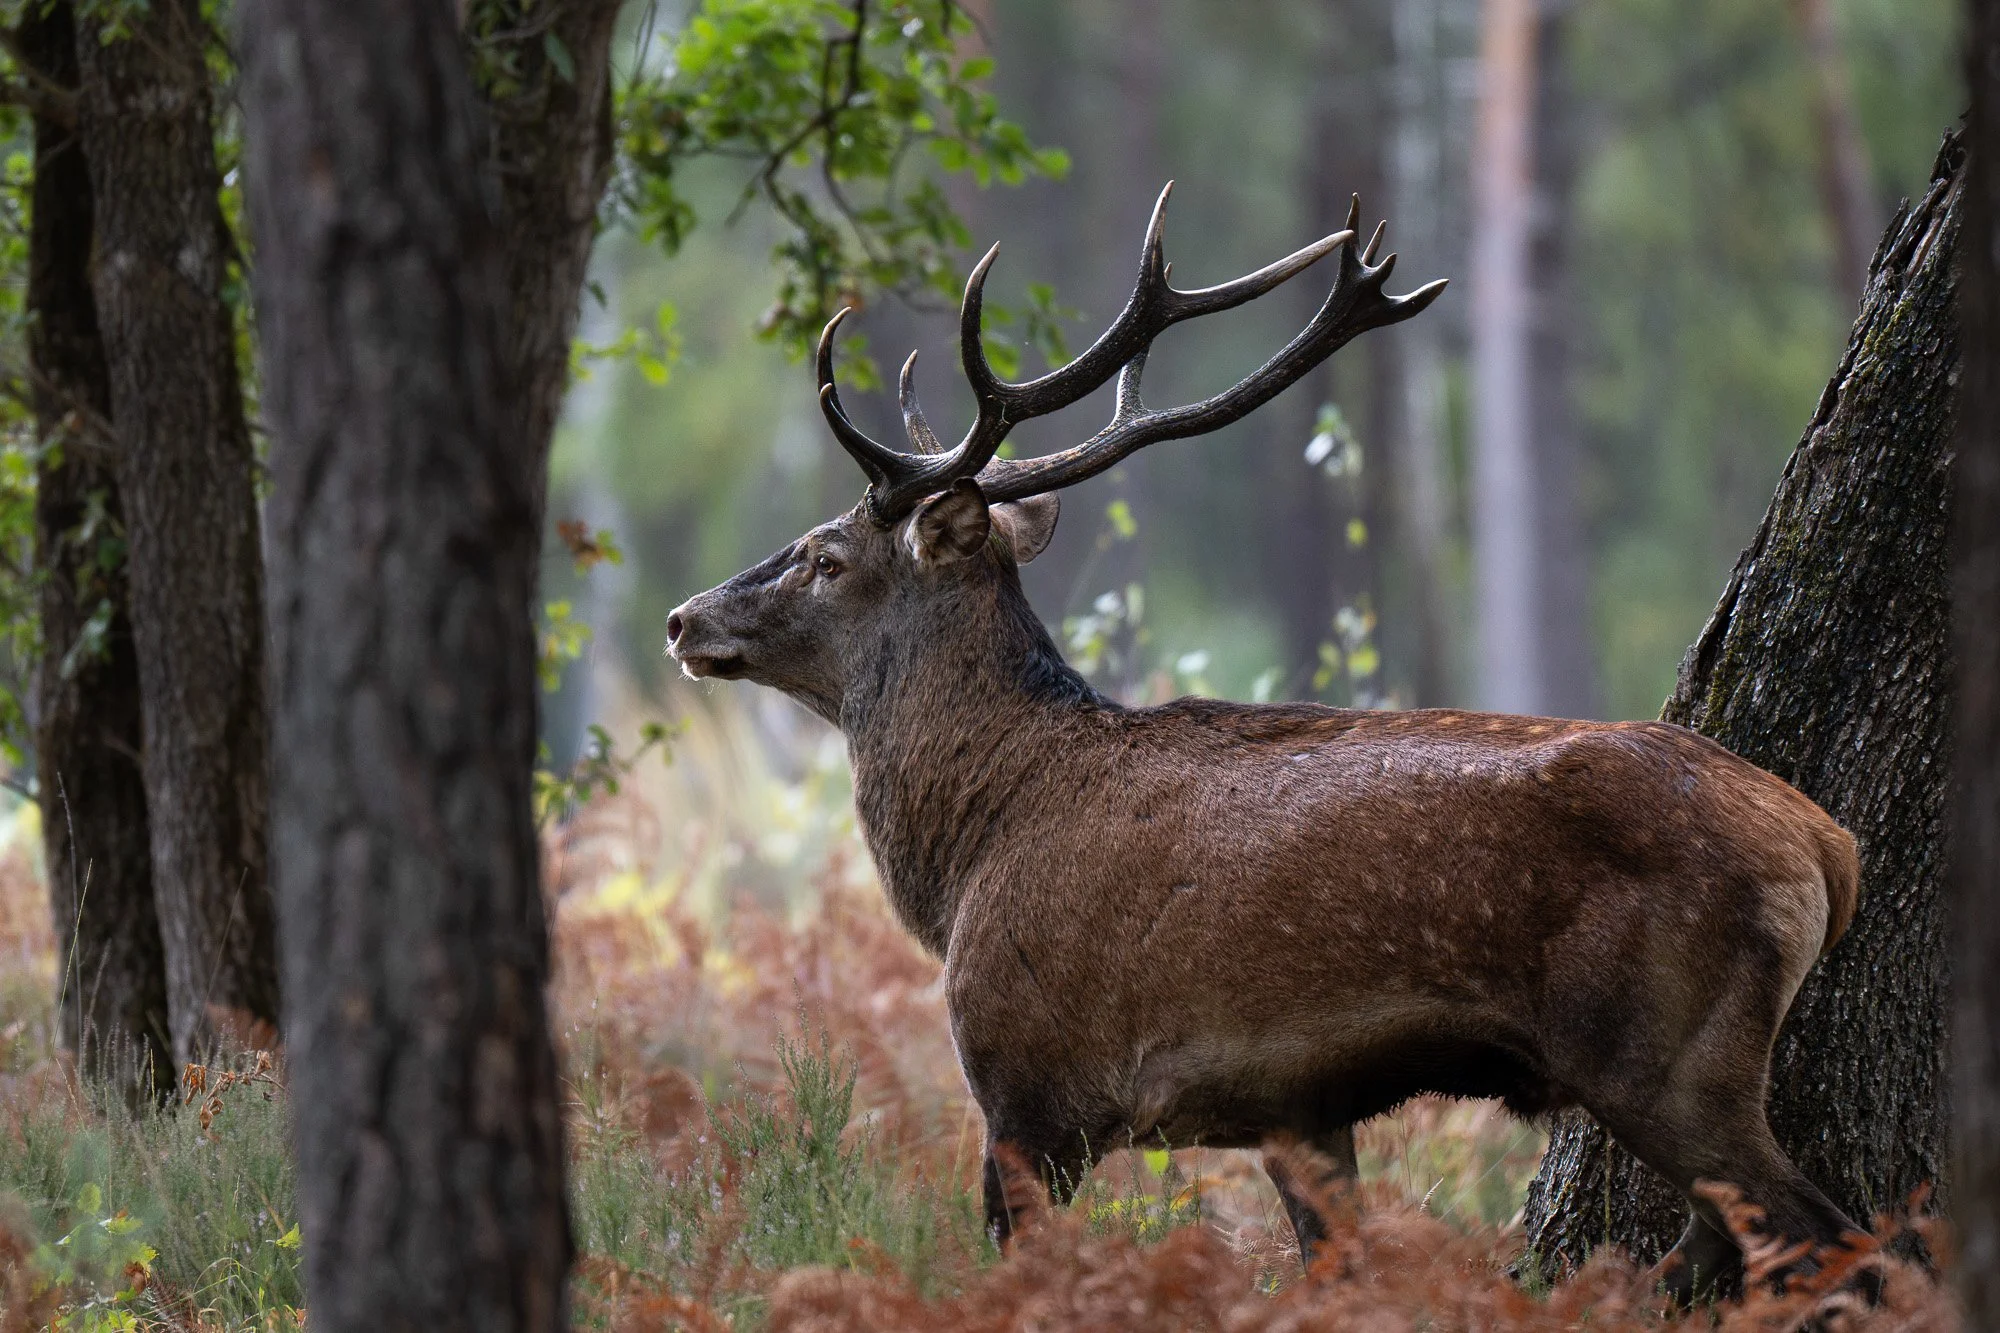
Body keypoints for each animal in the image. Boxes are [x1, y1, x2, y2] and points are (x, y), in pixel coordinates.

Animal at [664, 186, 1867, 1304]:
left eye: (824, 557)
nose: (682, 618)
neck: (966, 859)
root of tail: (1827, 845)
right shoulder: (1299, 1107)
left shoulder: (1025, 1082)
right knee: (1719, 1248)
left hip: (1665, 1052)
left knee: (1829, 1234)